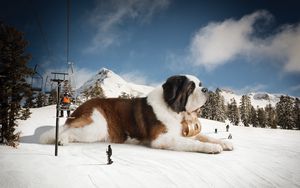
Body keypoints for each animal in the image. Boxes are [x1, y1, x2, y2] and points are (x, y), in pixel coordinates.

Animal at [40, 75, 232, 154]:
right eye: (191, 87)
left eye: (200, 84)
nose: (206, 90)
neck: (175, 110)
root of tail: (82, 106)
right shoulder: (161, 139)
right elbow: (192, 143)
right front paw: (212, 148)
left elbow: (204, 137)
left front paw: (224, 143)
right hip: (95, 126)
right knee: (67, 131)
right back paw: (61, 140)